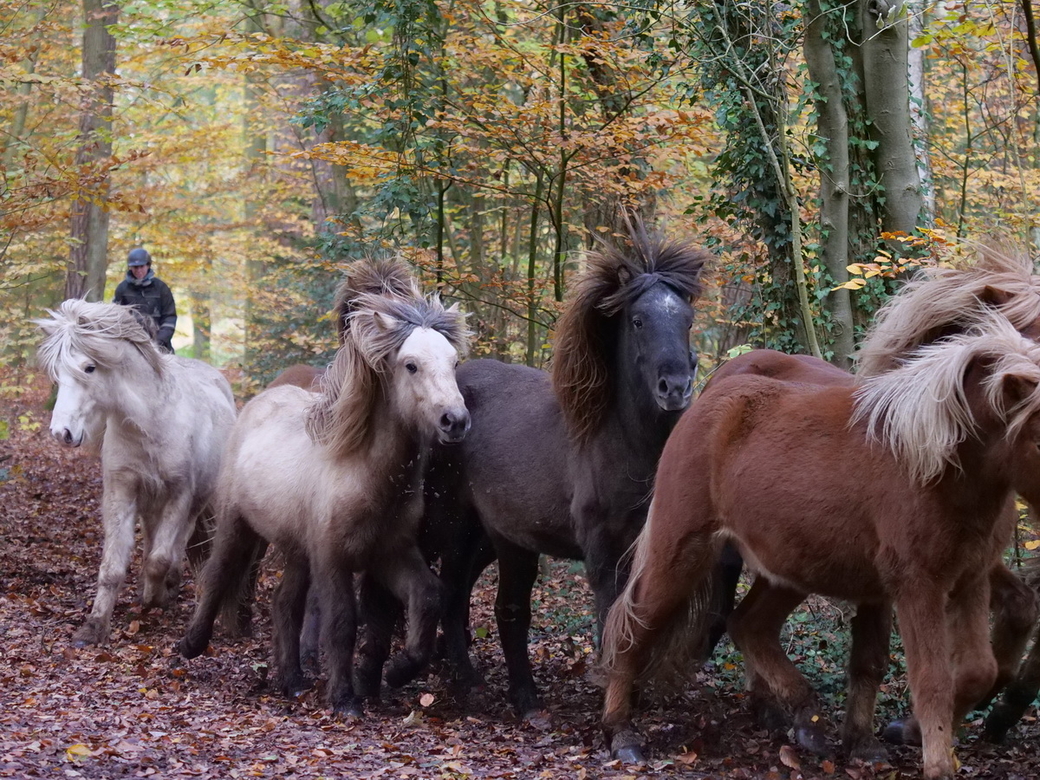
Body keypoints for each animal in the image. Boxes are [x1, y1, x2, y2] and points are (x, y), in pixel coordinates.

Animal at [37, 299, 238, 648]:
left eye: (89, 368)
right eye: (58, 372)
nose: (61, 433)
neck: (151, 423)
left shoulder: (179, 495)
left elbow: (160, 559)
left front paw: (156, 598)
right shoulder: (122, 492)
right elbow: (112, 567)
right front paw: (94, 626)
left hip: (195, 502)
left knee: (176, 544)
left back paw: (168, 586)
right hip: (149, 503)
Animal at [178, 257, 472, 715]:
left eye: (454, 362)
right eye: (410, 365)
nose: (455, 421)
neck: (362, 474)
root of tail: (260, 401)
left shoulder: (390, 554)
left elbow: (427, 597)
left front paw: (399, 670)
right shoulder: (333, 560)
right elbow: (341, 623)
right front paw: (344, 698)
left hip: (298, 549)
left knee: (284, 604)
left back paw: (293, 680)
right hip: (236, 524)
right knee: (218, 573)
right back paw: (192, 644)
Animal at [603, 314, 1040, 780]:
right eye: (1038, 439)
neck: (932, 462)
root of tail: (709, 395)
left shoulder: (968, 579)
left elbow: (974, 670)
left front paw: (896, 737)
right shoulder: (917, 587)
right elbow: (931, 679)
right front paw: (936, 760)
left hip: (789, 569)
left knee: (749, 626)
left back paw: (805, 718)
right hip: (680, 552)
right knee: (632, 626)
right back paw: (621, 731)